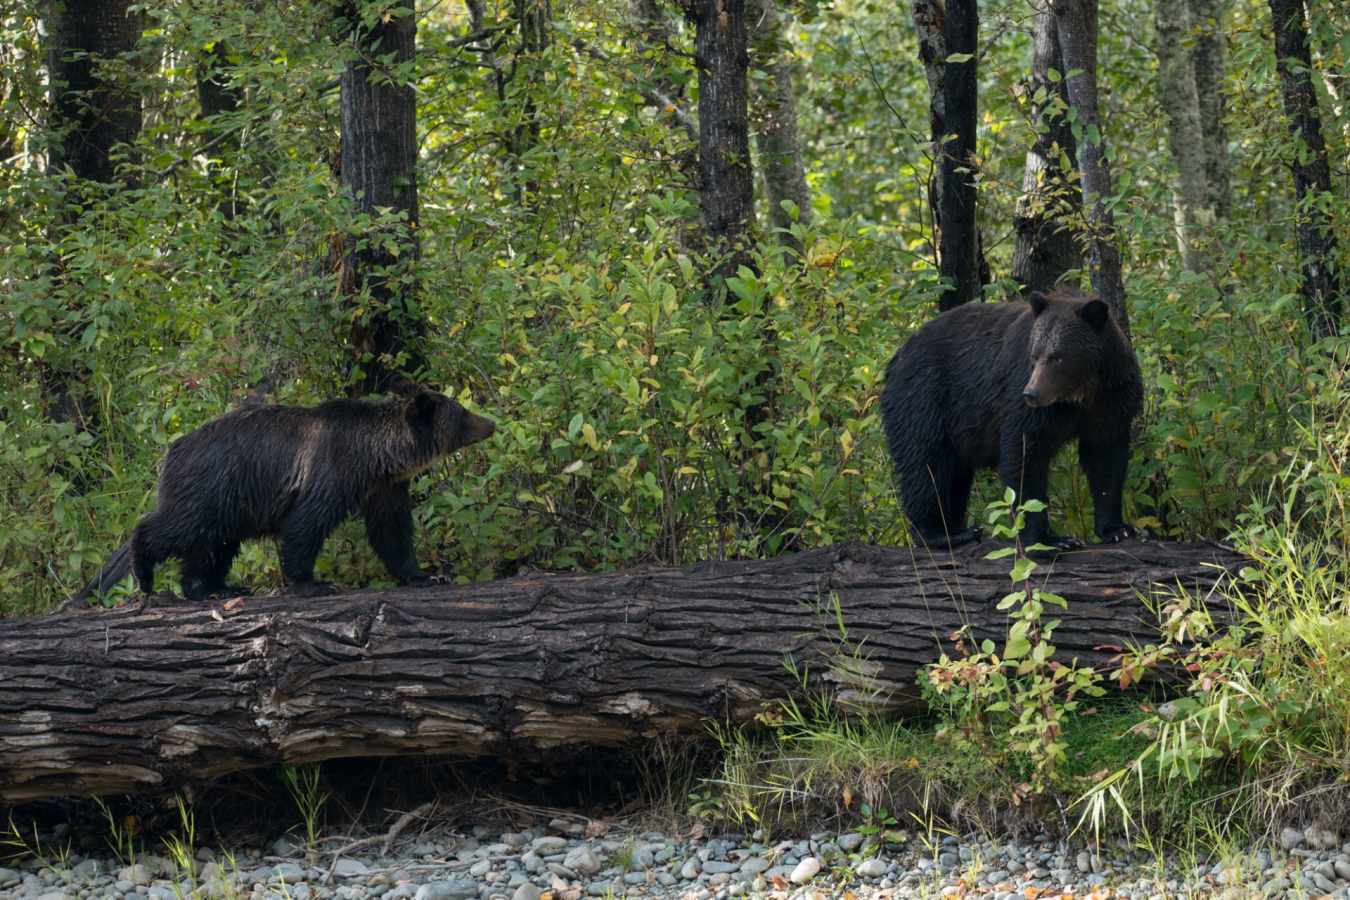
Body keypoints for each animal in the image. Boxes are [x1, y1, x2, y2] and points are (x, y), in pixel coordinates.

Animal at [65, 387, 495, 606]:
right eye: (461, 413)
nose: (490, 422)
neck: (376, 457)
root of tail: (172, 449)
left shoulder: (383, 488)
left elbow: (392, 533)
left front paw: (425, 574)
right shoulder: (329, 472)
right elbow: (305, 526)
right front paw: (313, 582)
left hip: (229, 505)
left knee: (214, 547)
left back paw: (213, 587)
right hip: (211, 487)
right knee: (176, 528)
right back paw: (145, 573)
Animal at [880, 286, 1143, 549]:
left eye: (1057, 357)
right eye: (1035, 356)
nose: (1031, 393)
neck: (1081, 393)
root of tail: (896, 356)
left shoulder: (1112, 398)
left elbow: (1106, 458)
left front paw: (1118, 529)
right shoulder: (1027, 402)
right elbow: (1024, 454)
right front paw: (1049, 538)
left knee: (954, 474)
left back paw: (959, 529)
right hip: (924, 397)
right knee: (926, 463)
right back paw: (939, 534)